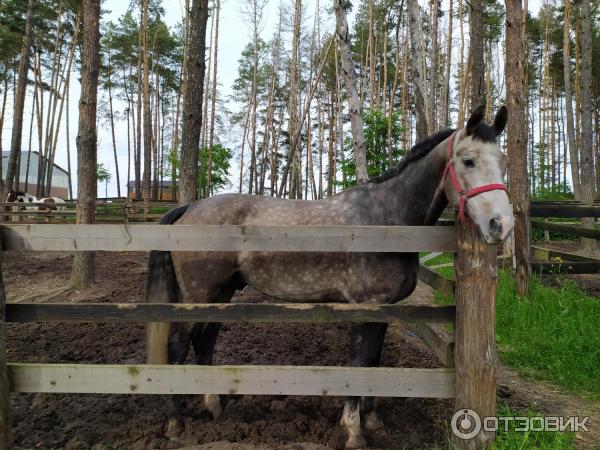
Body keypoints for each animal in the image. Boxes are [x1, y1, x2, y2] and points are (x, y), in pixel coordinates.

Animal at [146, 106, 516, 450]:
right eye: (468, 160)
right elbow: (359, 363)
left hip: (220, 295)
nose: (501, 225)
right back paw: (175, 425)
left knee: (204, 343)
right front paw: (353, 431)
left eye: (504, 162)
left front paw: (373, 420)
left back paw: (213, 408)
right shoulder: (365, 308)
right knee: (179, 346)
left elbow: (374, 363)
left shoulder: (384, 311)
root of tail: (190, 208)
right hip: (198, 296)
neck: (386, 219)